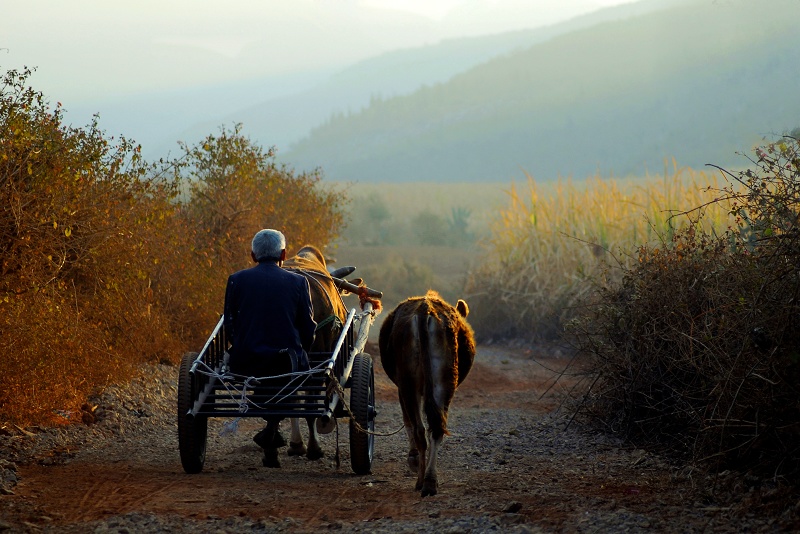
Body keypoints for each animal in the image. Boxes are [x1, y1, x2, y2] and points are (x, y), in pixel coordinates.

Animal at [380, 294, 476, 498]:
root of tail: (425, 309)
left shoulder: (401, 389)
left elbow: (407, 421)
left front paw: (413, 459)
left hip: (409, 385)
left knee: (419, 428)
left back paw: (421, 480)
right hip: (443, 381)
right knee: (436, 428)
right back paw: (430, 482)